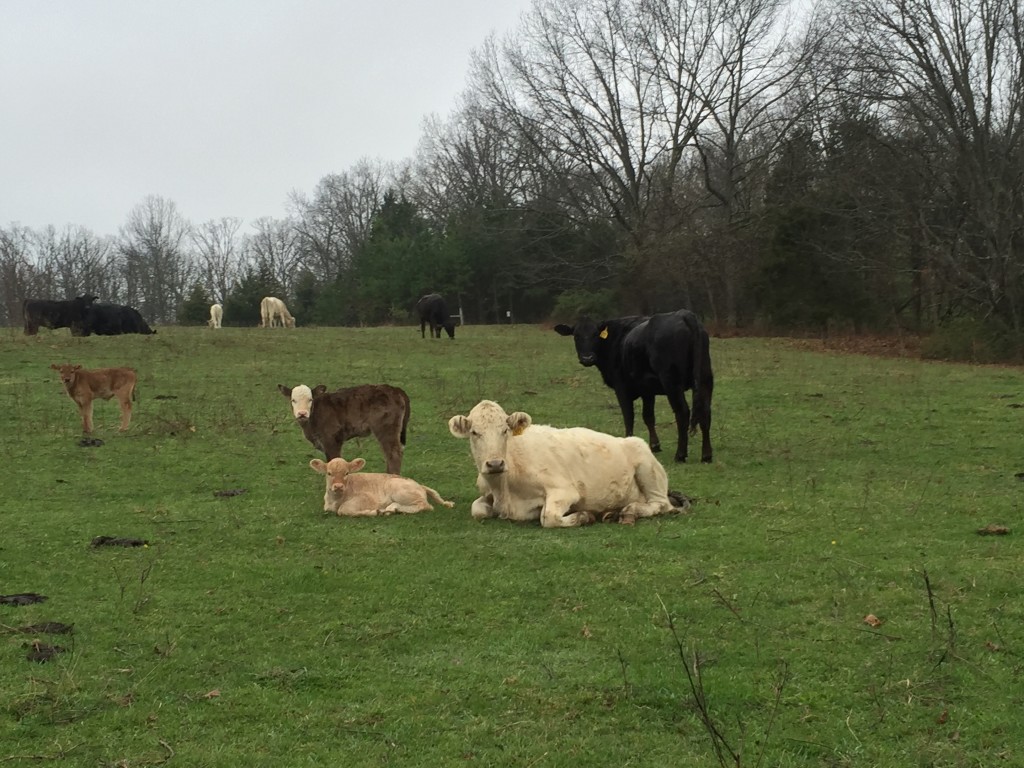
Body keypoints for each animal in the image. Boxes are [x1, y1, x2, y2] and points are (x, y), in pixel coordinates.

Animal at [278, 383, 410, 474]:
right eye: (293, 400)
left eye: (310, 399)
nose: (302, 414)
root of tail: (394, 389)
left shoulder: (332, 439)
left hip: (386, 429)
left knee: (393, 454)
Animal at [309, 456, 454, 516]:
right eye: (329, 473)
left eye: (347, 473)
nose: (338, 486)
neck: (335, 500)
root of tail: (420, 485)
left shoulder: (365, 498)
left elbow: (343, 510)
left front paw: (374, 512)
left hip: (397, 488)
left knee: (425, 506)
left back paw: (393, 509)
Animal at [448, 400, 687, 528]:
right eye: (474, 432)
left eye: (505, 430)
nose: (495, 464)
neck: (504, 487)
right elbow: (477, 509)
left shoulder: (565, 491)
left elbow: (548, 517)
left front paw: (584, 516)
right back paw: (612, 513)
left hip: (647, 468)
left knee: (661, 504)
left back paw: (631, 510)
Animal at [554, 309, 713, 463]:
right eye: (576, 336)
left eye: (595, 335)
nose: (587, 358)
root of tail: (684, 314)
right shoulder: (647, 390)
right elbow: (648, 416)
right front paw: (654, 445)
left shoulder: (621, 387)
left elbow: (628, 415)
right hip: (706, 379)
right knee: (705, 413)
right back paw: (706, 455)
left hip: (671, 382)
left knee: (682, 413)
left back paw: (680, 455)